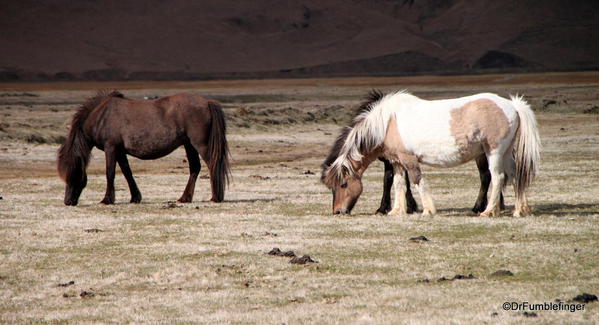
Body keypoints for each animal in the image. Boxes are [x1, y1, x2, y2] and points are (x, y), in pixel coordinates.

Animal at [56, 90, 230, 204]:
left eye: (71, 172)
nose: (68, 201)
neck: (101, 116)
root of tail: (207, 102)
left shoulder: (110, 148)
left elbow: (110, 173)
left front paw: (107, 200)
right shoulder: (120, 151)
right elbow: (127, 172)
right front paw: (135, 198)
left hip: (200, 144)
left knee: (212, 164)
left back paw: (215, 197)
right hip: (189, 145)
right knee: (195, 168)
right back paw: (184, 198)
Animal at [322, 90, 540, 216]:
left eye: (343, 184)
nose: (338, 211)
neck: (387, 123)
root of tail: (512, 106)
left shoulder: (409, 160)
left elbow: (417, 181)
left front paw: (427, 210)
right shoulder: (397, 162)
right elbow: (399, 184)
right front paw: (396, 211)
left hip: (493, 152)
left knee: (497, 177)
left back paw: (487, 211)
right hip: (505, 153)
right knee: (514, 176)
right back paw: (519, 210)